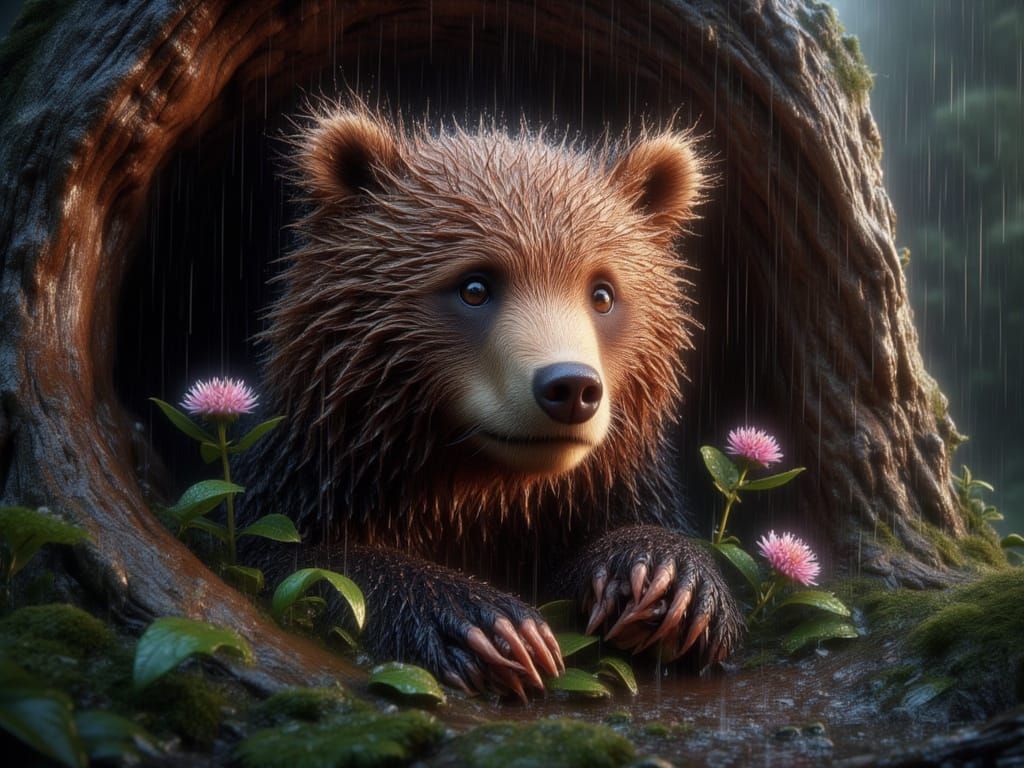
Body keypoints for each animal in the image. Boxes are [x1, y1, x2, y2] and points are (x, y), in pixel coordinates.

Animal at [238, 102, 742, 700]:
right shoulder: (304, 482)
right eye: (474, 286)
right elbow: (299, 560)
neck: (481, 490)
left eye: (603, 292)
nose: (570, 387)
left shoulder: (605, 489)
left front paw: (667, 580)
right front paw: (489, 624)